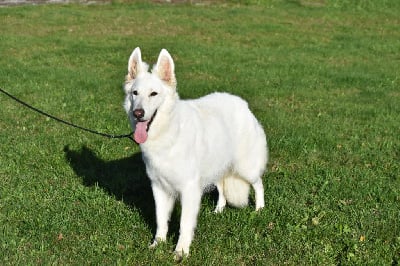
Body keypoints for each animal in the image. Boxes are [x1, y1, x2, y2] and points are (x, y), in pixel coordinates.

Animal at [123, 47, 268, 260]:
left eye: (153, 94)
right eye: (135, 93)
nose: (138, 113)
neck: (168, 132)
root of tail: (242, 103)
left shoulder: (189, 189)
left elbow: (184, 224)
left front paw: (181, 251)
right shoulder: (159, 188)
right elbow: (161, 220)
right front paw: (158, 244)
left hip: (245, 168)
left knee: (258, 184)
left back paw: (259, 209)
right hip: (216, 167)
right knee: (222, 188)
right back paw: (219, 209)